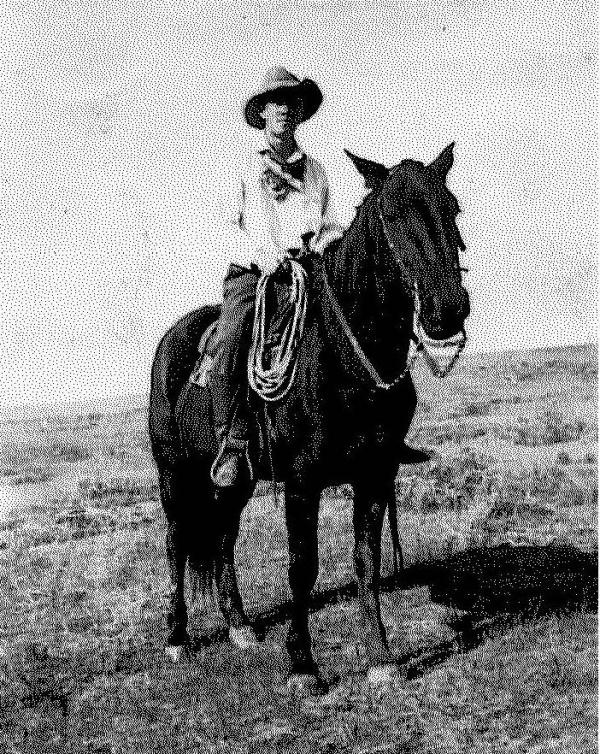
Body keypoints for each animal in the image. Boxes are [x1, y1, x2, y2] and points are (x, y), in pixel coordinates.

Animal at [149, 144, 468, 692]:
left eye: (452, 209)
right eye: (390, 216)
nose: (448, 309)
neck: (345, 356)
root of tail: (172, 338)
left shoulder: (374, 472)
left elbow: (366, 560)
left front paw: (381, 659)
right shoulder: (302, 479)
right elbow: (303, 564)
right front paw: (302, 664)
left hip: (236, 481)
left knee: (222, 540)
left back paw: (239, 626)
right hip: (174, 473)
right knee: (176, 542)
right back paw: (176, 637)